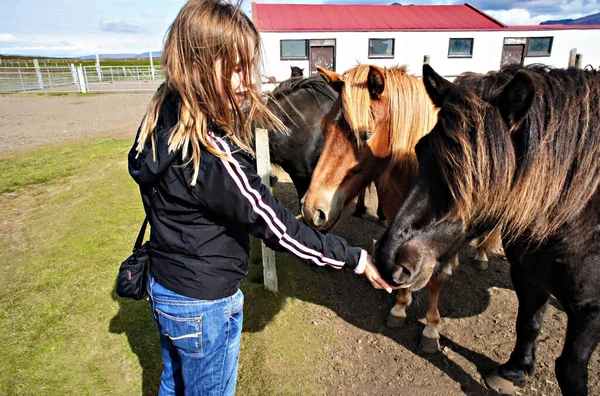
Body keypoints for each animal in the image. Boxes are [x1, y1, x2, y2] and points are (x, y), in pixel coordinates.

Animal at [376, 63, 600, 394]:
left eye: (480, 171)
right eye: (420, 147)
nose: (389, 260)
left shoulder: (590, 309)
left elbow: (570, 368)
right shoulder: (527, 275)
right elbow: (528, 324)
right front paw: (515, 371)